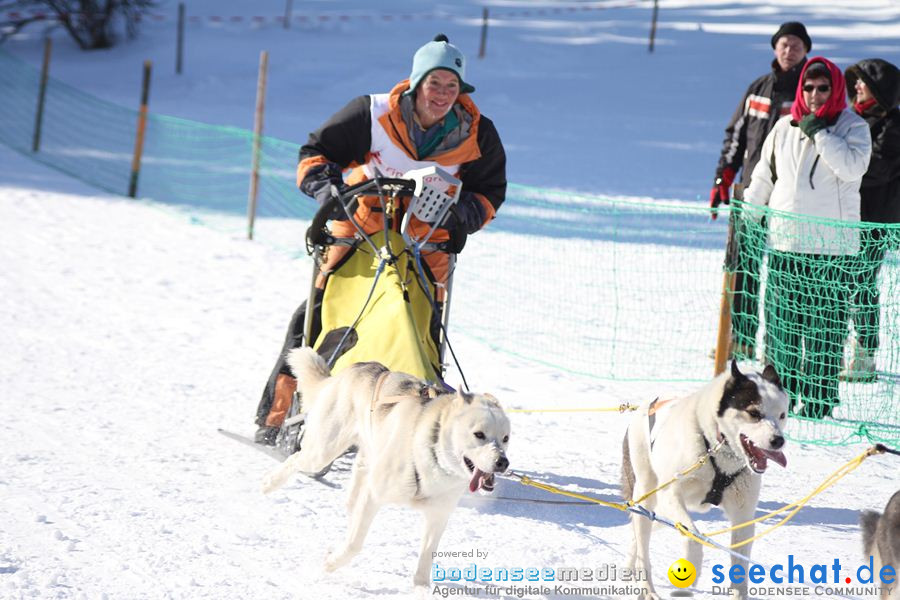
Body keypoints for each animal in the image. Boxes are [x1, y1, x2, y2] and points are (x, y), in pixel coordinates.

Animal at [264, 346, 510, 592]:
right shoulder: (374, 495)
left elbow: (426, 558)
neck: (432, 452)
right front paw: (332, 563)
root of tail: (361, 366)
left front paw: (421, 589)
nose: (503, 462)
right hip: (322, 452)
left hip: (365, 459)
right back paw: (270, 483)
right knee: (296, 459)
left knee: (353, 500)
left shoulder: (438, 515)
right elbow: (355, 544)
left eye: (506, 438)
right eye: (479, 434)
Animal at [620, 358, 788, 596]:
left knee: (637, 534)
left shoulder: (743, 516)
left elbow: (740, 565)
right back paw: (648, 589)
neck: (715, 448)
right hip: (649, 493)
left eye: (782, 415)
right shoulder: (670, 495)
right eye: (754, 413)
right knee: (643, 542)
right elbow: (693, 539)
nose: (778, 440)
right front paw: (693, 568)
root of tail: (648, 405)